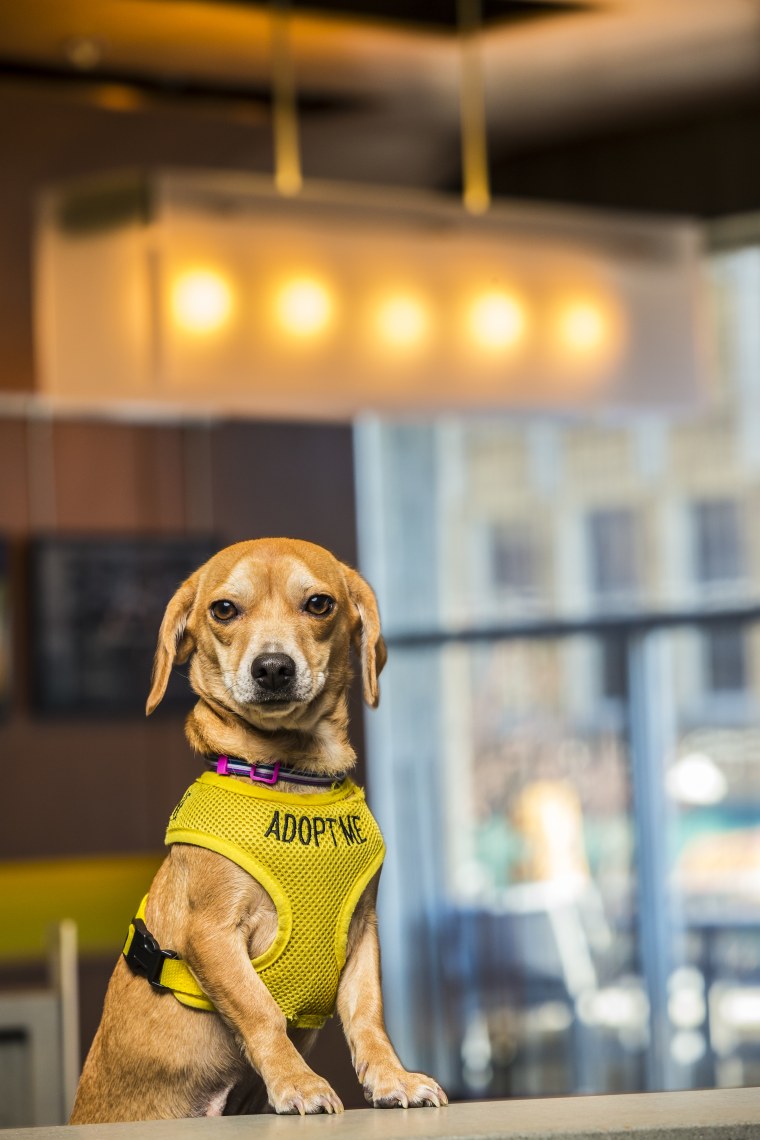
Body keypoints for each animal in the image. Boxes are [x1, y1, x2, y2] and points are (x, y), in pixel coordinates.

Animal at [69, 535, 448, 1121]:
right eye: (224, 610)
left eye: (319, 604)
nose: (273, 668)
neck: (291, 777)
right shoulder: (211, 936)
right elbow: (263, 1013)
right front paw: (297, 1082)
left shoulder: (363, 934)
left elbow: (368, 1018)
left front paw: (392, 1079)